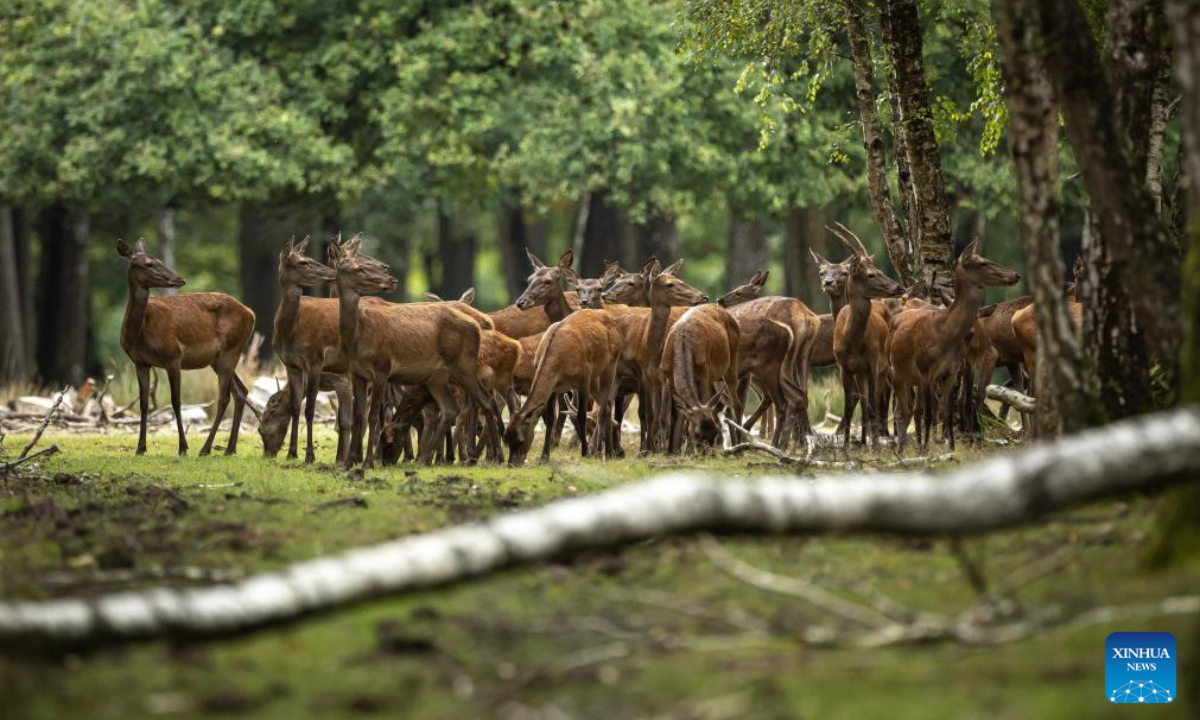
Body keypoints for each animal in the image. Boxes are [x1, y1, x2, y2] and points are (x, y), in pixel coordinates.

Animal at [116, 238, 255, 457]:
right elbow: (144, 404)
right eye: (149, 264)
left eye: (159, 260)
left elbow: (176, 401)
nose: (179, 279)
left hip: (231, 350)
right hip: (218, 359)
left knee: (224, 397)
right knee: (241, 392)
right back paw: (230, 449)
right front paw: (140, 448)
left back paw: (205, 449)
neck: (140, 333)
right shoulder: (140, 362)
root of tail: (251, 313)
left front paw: (183, 447)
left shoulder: (173, 355)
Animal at [330, 238, 503, 467]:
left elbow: (373, 416)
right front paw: (348, 462)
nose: (391, 280)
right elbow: (359, 416)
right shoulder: (357, 373)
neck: (358, 338)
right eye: (358, 268)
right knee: (452, 408)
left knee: (486, 403)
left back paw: (490, 457)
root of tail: (477, 324)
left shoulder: (382, 369)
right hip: (438, 377)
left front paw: (367, 462)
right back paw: (428, 457)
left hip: (464, 366)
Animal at [504, 309, 623, 465]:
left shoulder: (583, 378)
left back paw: (598, 452)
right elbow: (550, 419)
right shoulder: (554, 387)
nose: (512, 464)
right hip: (595, 380)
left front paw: (585, 453)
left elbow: (580, 415)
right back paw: (608, 453)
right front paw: (544, 457)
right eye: (506, 439)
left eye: (520, 440)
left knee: (603, 409)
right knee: (608, 405)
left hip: (610, 366)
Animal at [659, 303, 742, 453]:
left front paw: (686, 451)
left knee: (736, 404)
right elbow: (668, 416)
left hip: (732, 362)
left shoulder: (703, 375)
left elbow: (701, 404)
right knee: (726, 402)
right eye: (697, 433)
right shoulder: (666, 376)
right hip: (717, 377)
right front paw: (670, 451)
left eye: (716, 431)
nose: (707, 453)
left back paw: (739, 447)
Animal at [889, 239, 1021, 453]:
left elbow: (949, 412)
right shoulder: (925, 372)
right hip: (894, 372)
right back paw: (902, 448)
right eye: (982, 262)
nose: (1016, 275)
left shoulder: (951, 372)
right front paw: (926, 450)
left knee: (906, 409)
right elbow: (929, 414)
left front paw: (950, 448)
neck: (944, 333)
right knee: (903, 410)